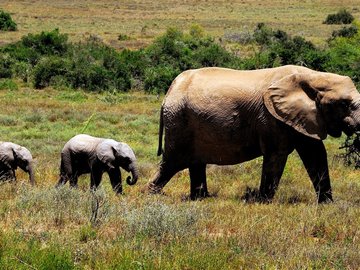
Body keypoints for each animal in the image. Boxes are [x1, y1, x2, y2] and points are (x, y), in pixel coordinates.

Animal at [148, 64, 360, 202]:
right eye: (344, 104)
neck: (314, 77)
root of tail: (169, 92)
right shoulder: (272, 118)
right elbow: (277, 155)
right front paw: (263, 202)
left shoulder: (304, 117)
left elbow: (316, 154)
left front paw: (327, 204)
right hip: (178, 121)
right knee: (172, 162)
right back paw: (151, 195)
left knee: (194, 163)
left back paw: (200, 199)